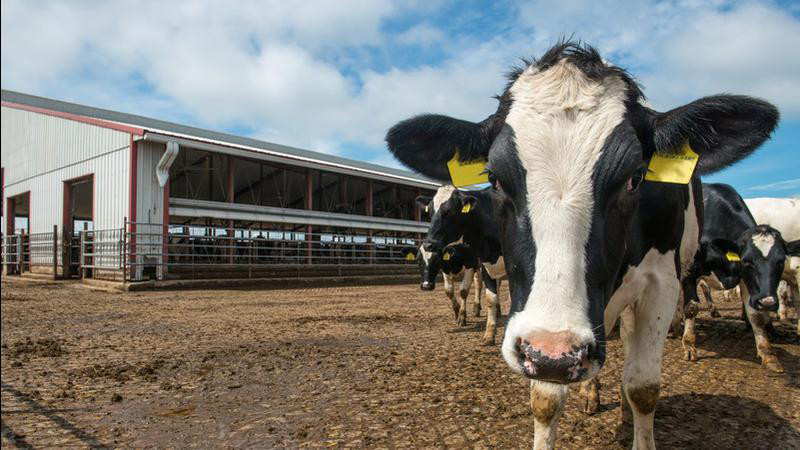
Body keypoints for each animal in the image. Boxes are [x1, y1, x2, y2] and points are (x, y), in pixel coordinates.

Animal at [416, 186, 504, 344]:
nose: (426, 286)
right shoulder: (449, 269)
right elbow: (449, 291)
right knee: (479, 284)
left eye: (449, 211)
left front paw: (462, 317)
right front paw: (457, 313)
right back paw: (476, 308)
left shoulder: (471, 264)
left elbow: (463, 290)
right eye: (430, 212)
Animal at [680, 182, 788, 370]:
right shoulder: (689, 268)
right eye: (747, 261)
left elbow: (755, 316)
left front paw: (767, 354)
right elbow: (691, 307)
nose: (767, 302)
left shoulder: (746, 280)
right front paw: (688, 345)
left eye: (781, 261)